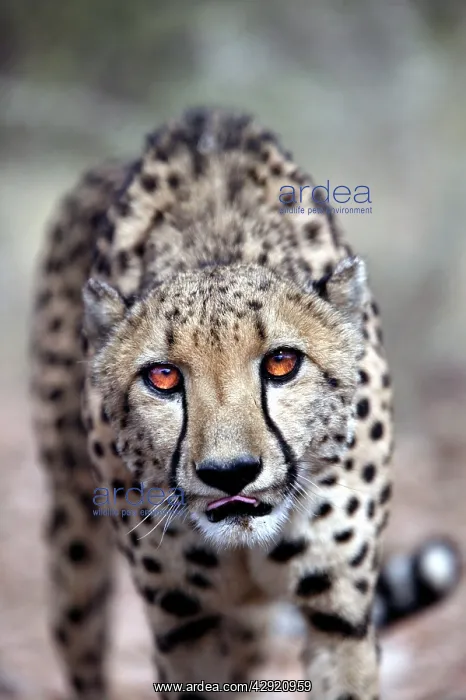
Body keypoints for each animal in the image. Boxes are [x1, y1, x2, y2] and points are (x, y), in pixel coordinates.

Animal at [29, 107, 396, 700]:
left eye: (281, 363)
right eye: (162, 376)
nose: (231, 473)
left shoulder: (337, 613)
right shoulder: (185, 625)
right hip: (72, 533)